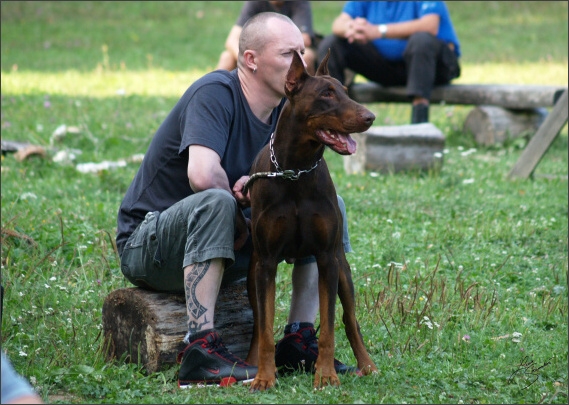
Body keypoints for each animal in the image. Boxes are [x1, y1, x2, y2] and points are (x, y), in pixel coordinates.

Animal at [243, 49, 378, 388]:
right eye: (326, 94)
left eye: (345, 89)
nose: (370, 117)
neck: (295, 171)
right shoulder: (266, 262)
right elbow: (265, 328)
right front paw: (264, 377)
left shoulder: (327, 258)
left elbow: (330, 326)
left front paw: (326, 374)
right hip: (253, 270)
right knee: (257, 322)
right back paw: (250, 363)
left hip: (342, 267)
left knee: (349, 318)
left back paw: (367, 364)